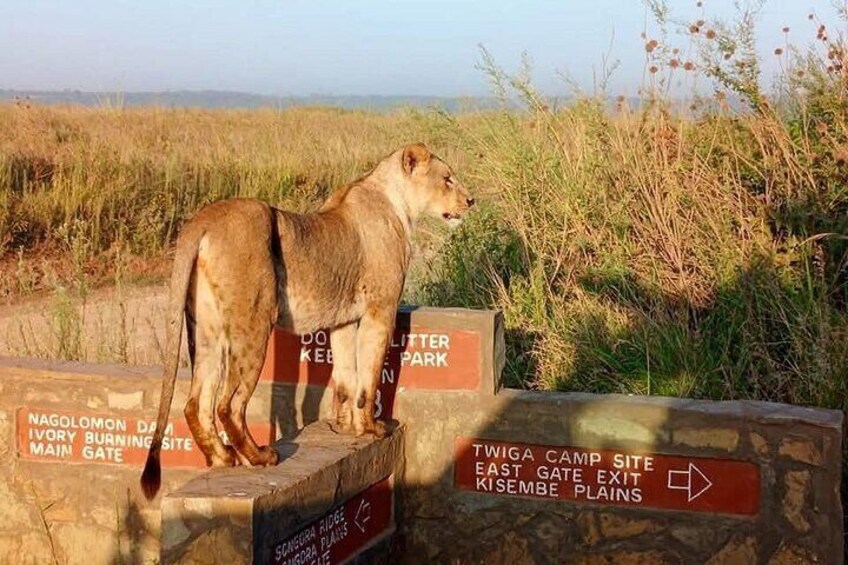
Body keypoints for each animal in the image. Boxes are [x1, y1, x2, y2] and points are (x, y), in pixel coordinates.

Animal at [140, 143, 474, 499]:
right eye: (447, 178)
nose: (471, 201)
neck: (397, 201)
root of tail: (201, 221)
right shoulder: (380, 310)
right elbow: (369, 377)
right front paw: (372, 428)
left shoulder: (343, 321)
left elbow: (346, 376)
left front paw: (346, 427)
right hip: (255, 320)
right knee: (228, 404)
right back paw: (260, 457)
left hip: (206, 330)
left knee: (195, 404)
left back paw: (222, 457)